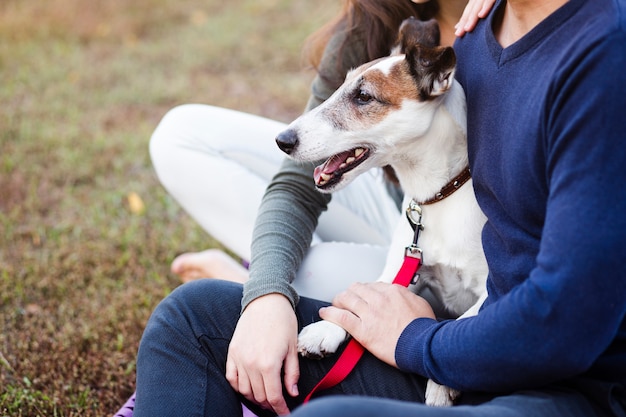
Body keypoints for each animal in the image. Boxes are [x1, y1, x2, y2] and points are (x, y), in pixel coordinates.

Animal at [274, 17, 488, 404]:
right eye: (341, 86)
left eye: (363, 97)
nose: (282, 140)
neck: (441, 195)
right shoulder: (404, 269)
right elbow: (369, 296)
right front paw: (327, 328)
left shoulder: (497, 289)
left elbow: (469, 320)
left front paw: (441, 384)